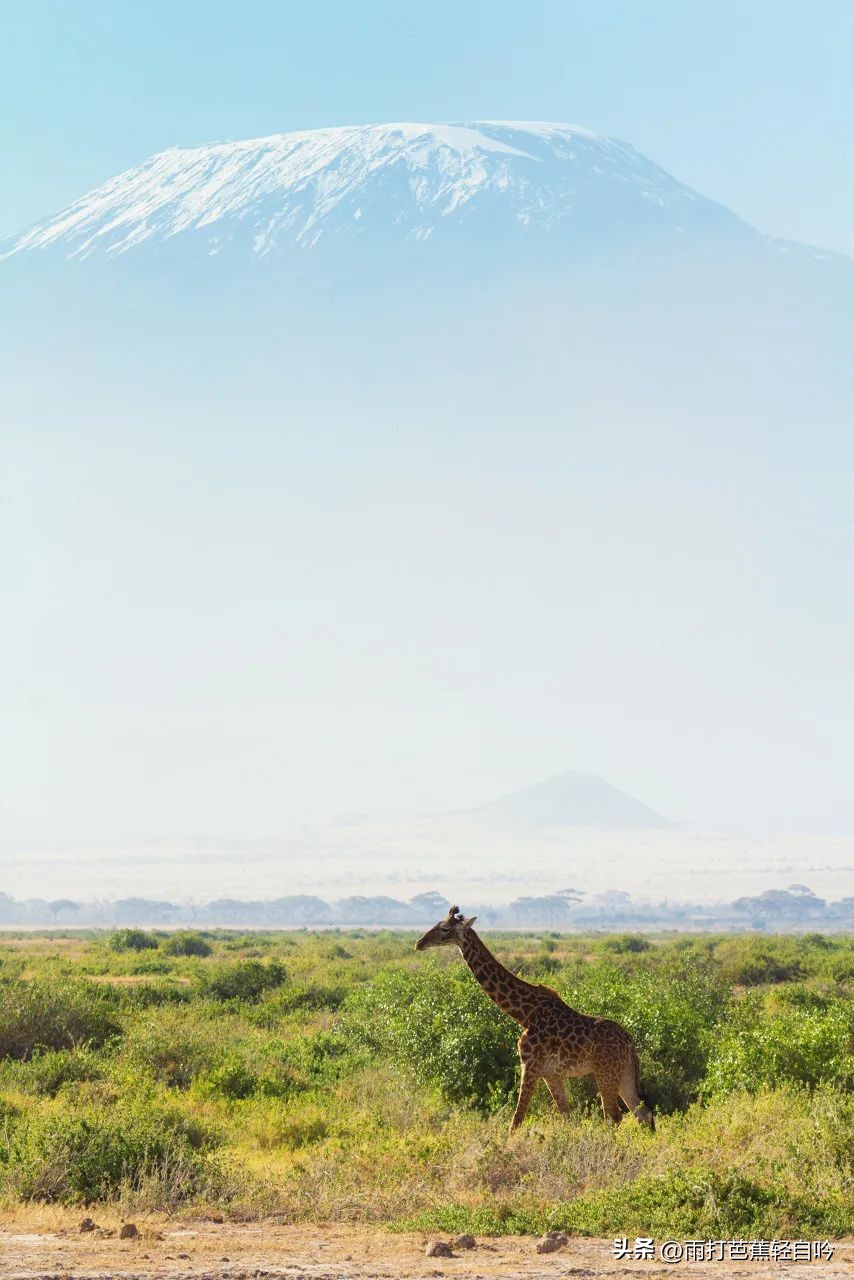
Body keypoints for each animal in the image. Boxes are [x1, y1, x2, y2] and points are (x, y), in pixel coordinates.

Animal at [414, 906, 655, 1136]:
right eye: (438, 923)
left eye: (445, 929)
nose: (419, 943)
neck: (524, 1014)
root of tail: (630, 1042)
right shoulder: (551, 1074)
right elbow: (568, 1118)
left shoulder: (529, 1066)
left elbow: (516, 1120)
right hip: (623, 1072)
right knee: (642, 1113)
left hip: (605, 1072)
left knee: (614, 1117)